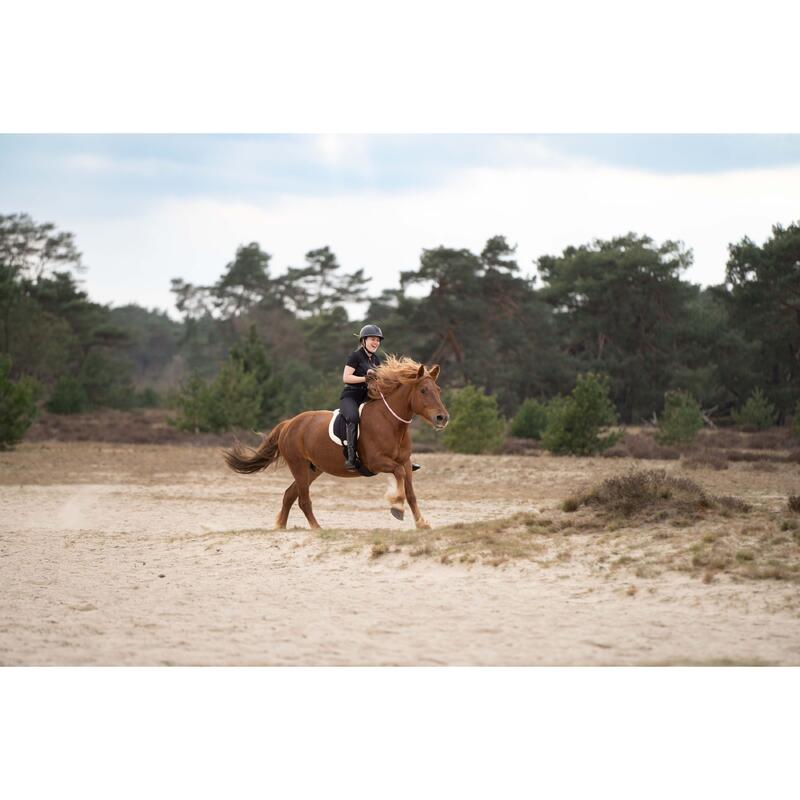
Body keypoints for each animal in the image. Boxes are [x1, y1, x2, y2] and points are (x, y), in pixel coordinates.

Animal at [223, 356, 450, 532]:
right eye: (423, 391)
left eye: (438, 389)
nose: (442, 418)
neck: (390, 422)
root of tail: (289, 423)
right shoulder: (377, 462)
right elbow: (399, 476)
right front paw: (397, 508)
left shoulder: (405, 462)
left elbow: (411, 493)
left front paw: (421, 523)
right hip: (299, 466)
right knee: (303, 499)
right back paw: (316, 528)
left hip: (313, 469)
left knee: (289, 494)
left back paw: (281, 526)